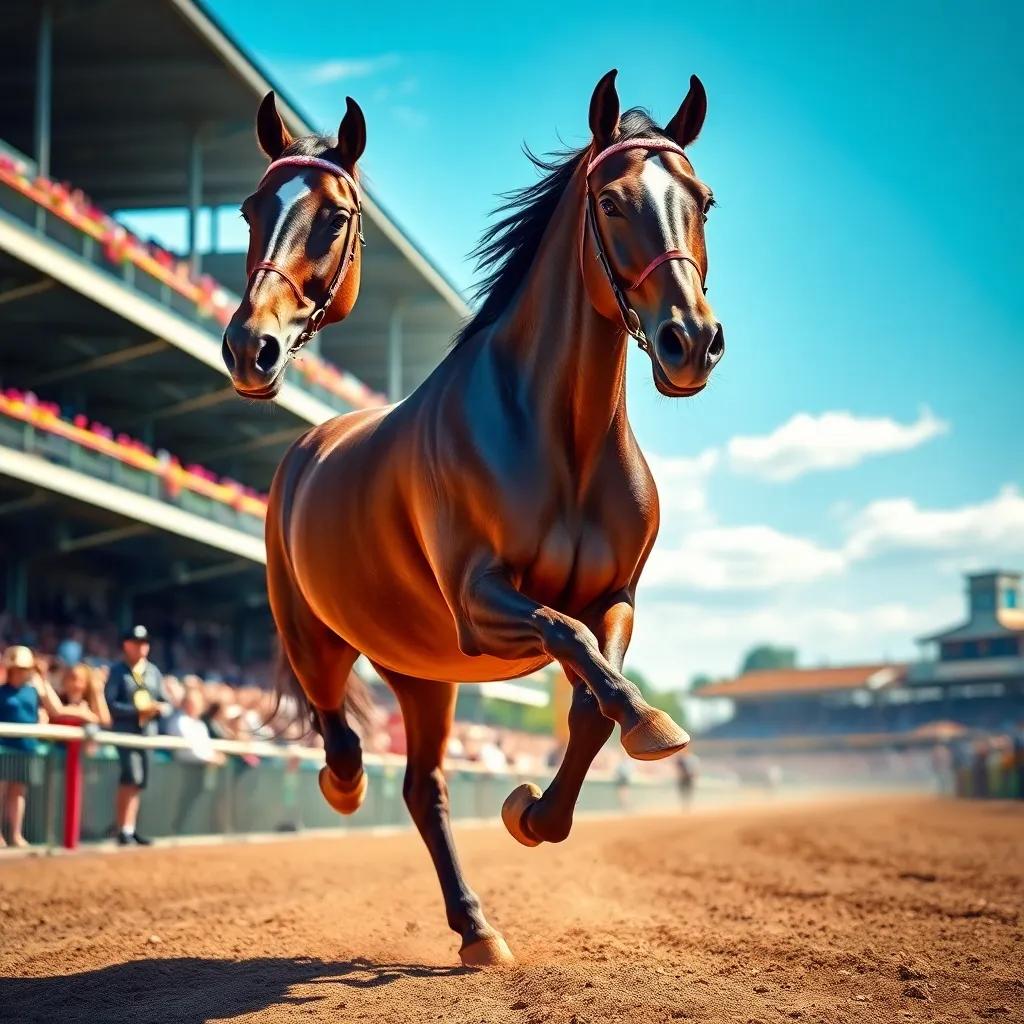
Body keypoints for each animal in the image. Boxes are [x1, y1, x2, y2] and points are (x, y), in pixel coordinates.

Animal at [224, 70, 724, 968]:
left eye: (701, 199)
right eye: (611, 199)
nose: (690, 341)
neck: (560, 437)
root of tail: (310, 442)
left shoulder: (617, 595)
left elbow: (592, 695)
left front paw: (537, 810)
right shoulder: (478, 603)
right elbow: (569, 637)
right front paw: (651, 725)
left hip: (423, 676)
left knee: (424, 787)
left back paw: (476, 927)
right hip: (317, 637)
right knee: (342, 733)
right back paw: (345, 788)